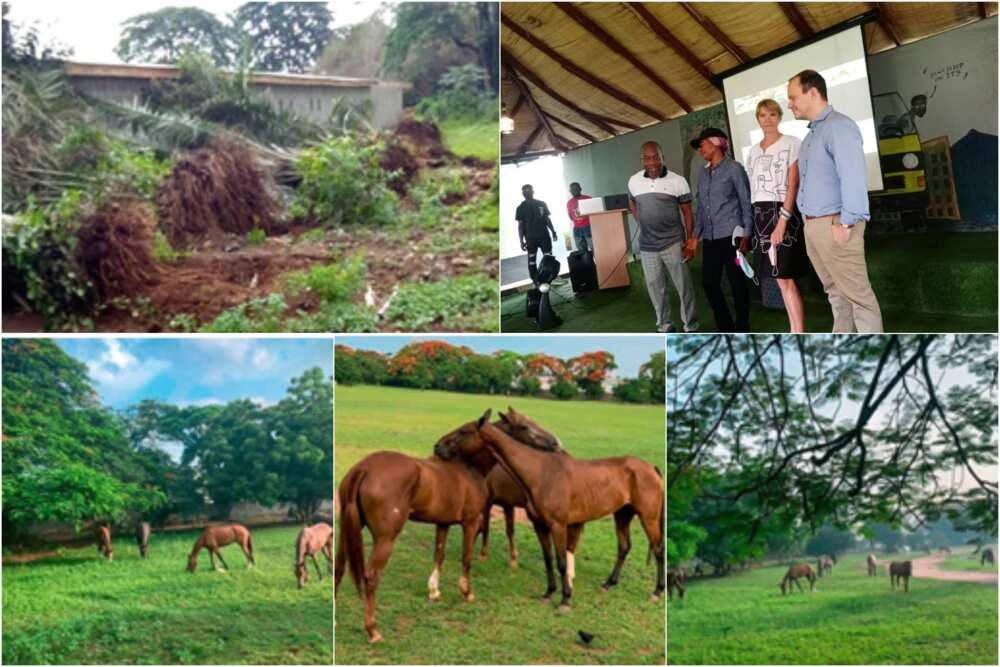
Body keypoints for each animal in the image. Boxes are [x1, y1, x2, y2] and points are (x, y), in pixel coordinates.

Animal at [332, 410, 560, 644]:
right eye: (525, 426)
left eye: (462, 431)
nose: (554, 443)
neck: (468, 468)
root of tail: (364, 468)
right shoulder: (471, 522)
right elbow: (466, 558)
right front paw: (467, 592)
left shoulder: (443, 523)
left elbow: (439, 555)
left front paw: (434, 591)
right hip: (385, 539)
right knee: (370, 577)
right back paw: (373, 630)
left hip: (347, 532)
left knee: (338, 567)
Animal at [468, 418, 664, 616]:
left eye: (464, 432)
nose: (555, 443)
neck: (541, 473)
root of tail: (651, 469)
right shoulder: (540, 525)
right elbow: (548, 559)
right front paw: (548, 593)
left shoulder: (558, 526)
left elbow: (562, 562)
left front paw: (565, 600)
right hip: (622, 515)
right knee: (624, 547)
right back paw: (608, 584)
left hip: (648, 518)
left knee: (658, 549)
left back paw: (657, 592)